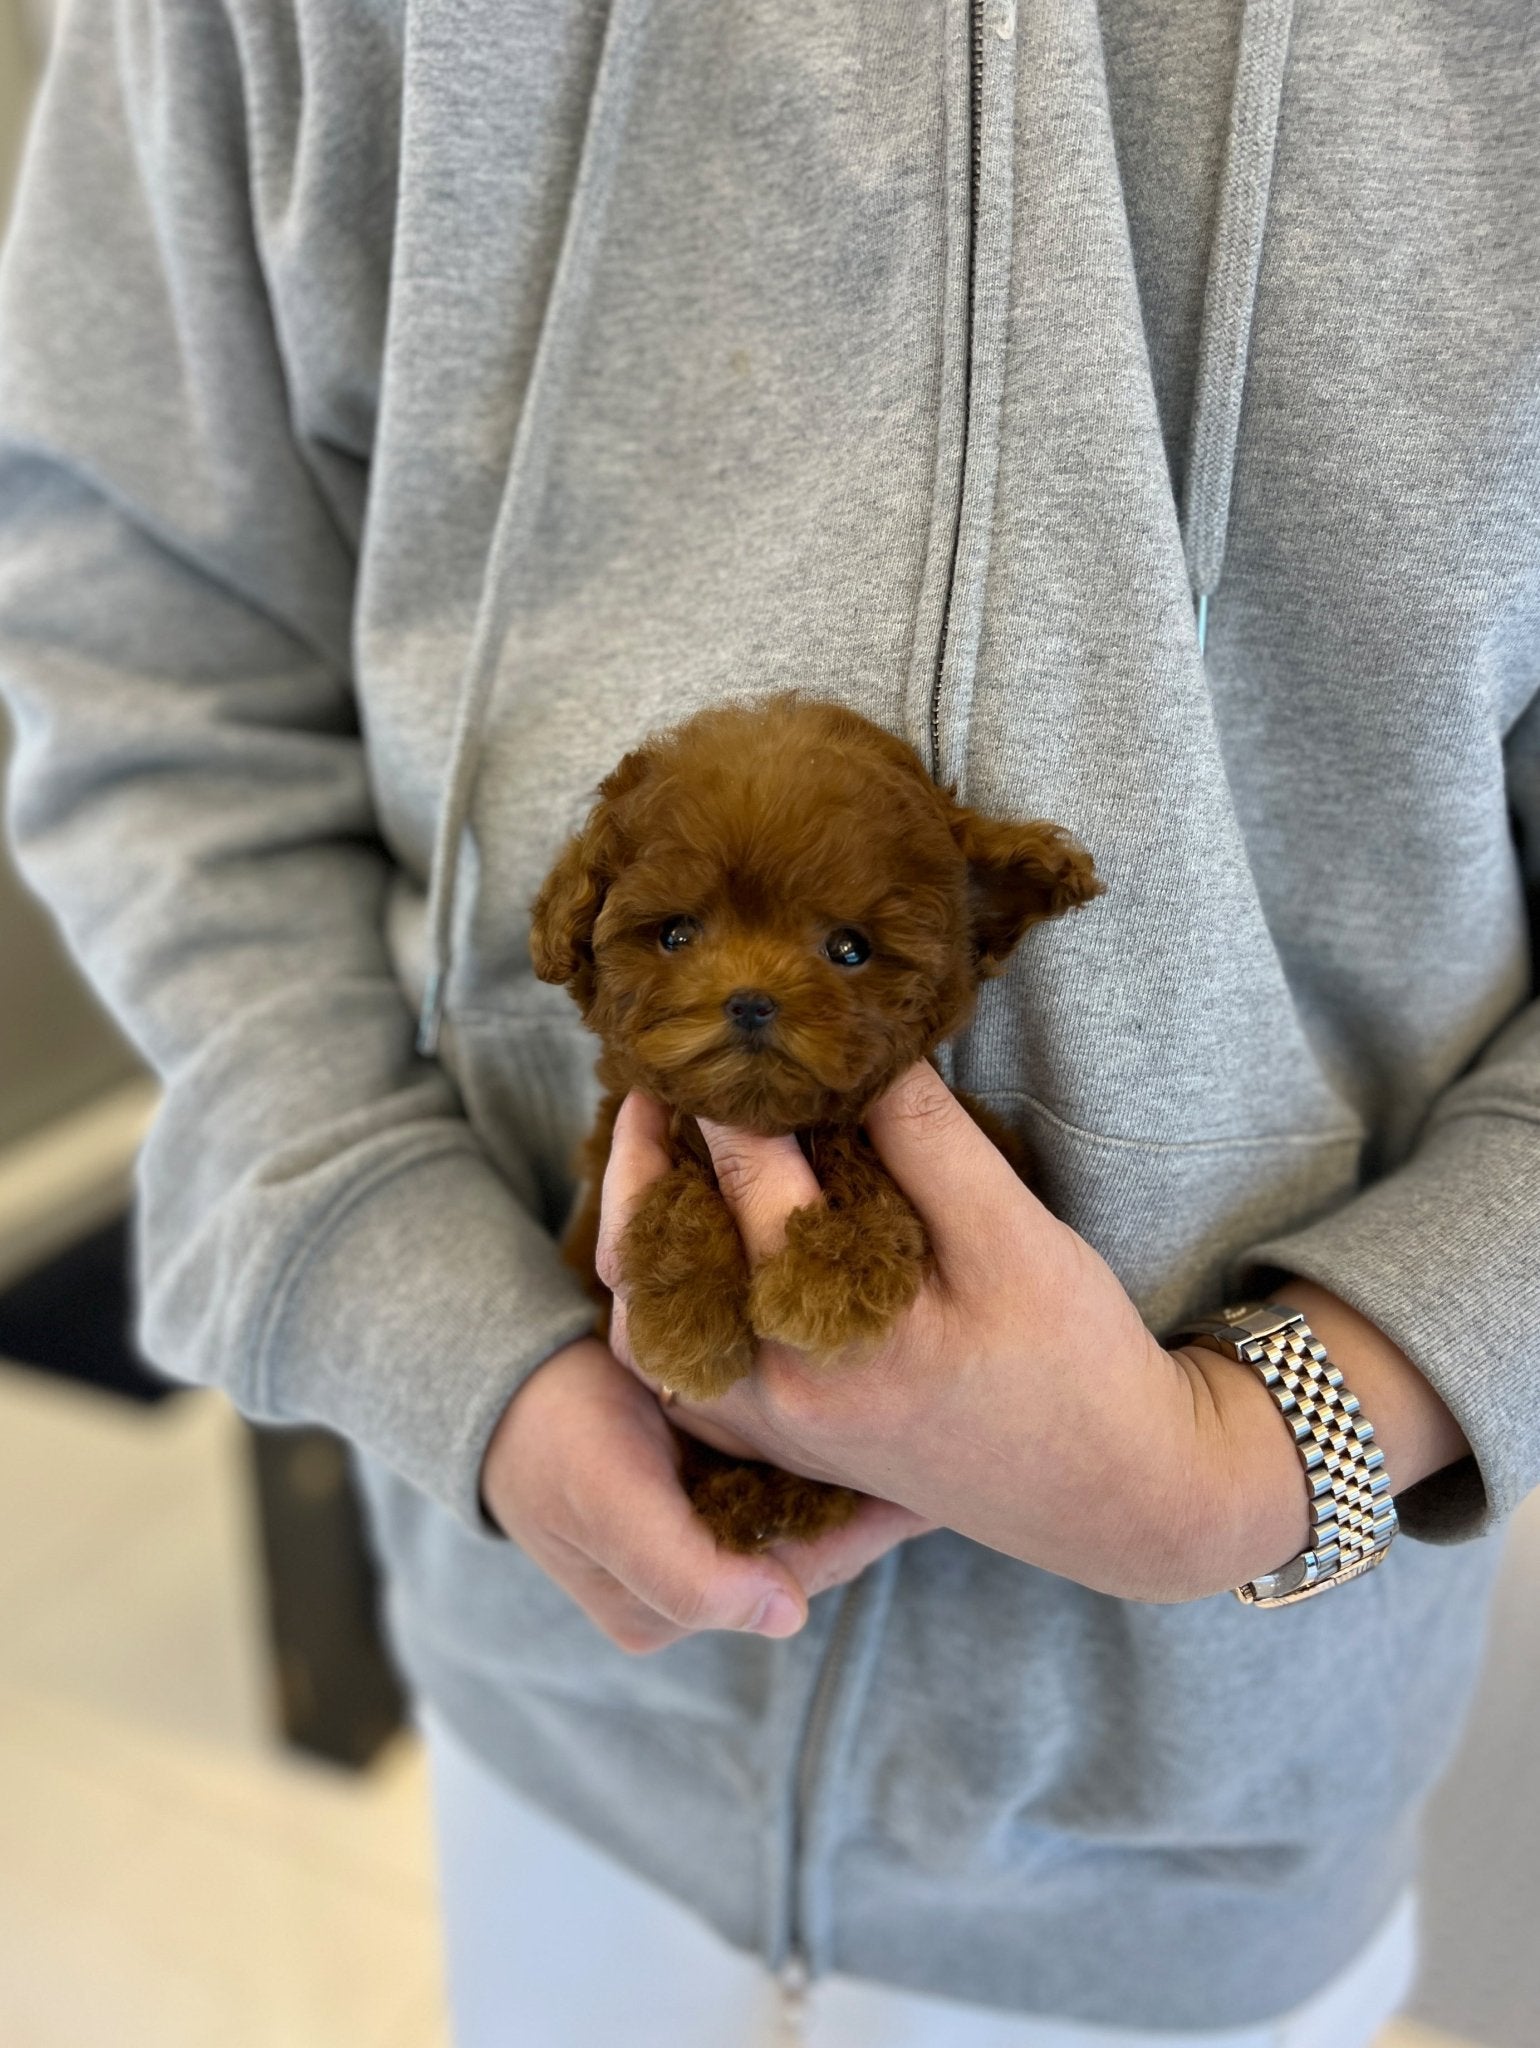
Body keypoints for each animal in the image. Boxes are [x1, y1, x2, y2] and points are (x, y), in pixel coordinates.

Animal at [532, 696, 1105, 1540]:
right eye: (675, 934)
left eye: (850, 949)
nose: (751, 1000)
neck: (777, 1124)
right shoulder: (636, 1132)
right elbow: (679, 1186)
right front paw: (686, 1315)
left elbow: (868, 1174)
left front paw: (830, 1278)